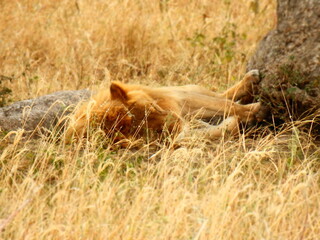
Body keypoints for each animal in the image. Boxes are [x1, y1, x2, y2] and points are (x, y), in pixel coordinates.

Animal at [64, 69, 262, 144]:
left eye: (153, 108)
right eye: (155, 131)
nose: (178, 123)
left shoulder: (181, 100)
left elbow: (225, 104)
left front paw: (256, 107)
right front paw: (257, 109)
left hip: (186, 90)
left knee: (221, 96)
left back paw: (250, 79)